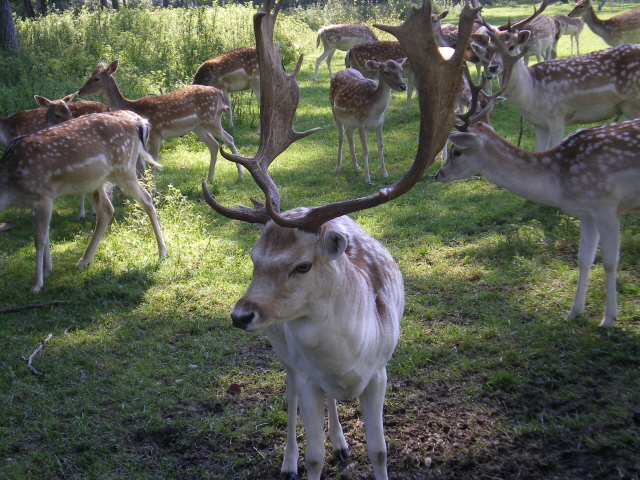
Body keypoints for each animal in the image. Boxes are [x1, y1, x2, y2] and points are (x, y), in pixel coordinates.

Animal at [0, 111, 168, 292]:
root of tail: (136, 124)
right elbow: (46, 234)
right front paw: (47, 270)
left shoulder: (44, 195)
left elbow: (39, 238)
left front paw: (37, 284)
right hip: (94, 182)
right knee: (106, 211)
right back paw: (84, 260)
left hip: (123, 169)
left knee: (146, 199)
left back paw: (162, 251)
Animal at [77, 58, 240, 182]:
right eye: (90, 75)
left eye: (96, 78)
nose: (80, 91)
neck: (133, 106)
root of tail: (219, 93)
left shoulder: (155, 134)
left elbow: (153, 163)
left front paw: (153, 188)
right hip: (197, 126)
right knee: (214, 145)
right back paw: (209, 179)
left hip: (211, 119)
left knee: (229, 139)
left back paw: (240, 175)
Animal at [330, 56, 404, 184]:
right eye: (386, 72)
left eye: (401, 70)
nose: (403, 86)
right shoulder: (361, 123)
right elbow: (365, 149)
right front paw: (367, 178)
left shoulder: (380, 123)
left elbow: (380, 145)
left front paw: (384, 173)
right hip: (334, 111)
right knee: (341, 136)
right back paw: (338, 167)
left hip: (352, 121)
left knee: (348, 132)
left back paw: (355, 166)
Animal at [438, 76, 640, 330]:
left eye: (457, 151)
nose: (438, 174)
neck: (561, 182)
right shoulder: (586, 213)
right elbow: (584, 259)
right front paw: (573, 313)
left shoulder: (607, 205)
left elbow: (610, 262)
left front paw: (608, 318)